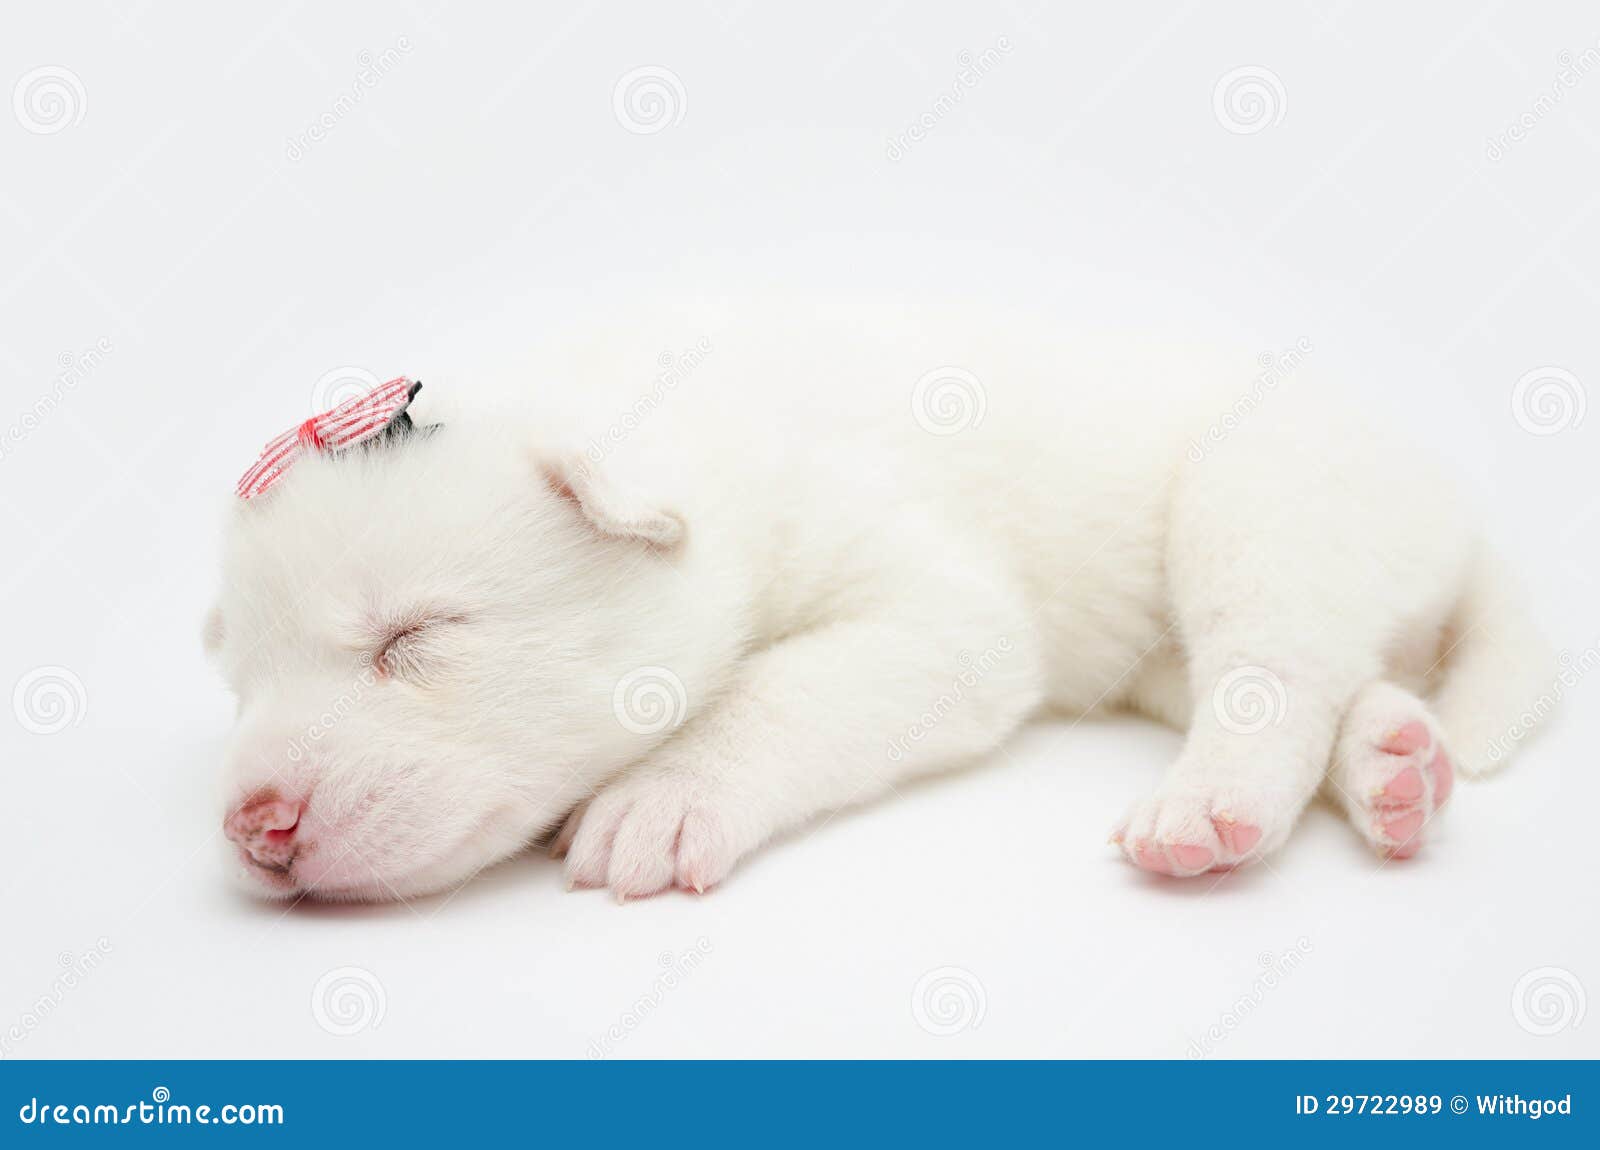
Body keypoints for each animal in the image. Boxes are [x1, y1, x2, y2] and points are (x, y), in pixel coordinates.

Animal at [206, 303, 1555, 902]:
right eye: (243, 684)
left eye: (413, 637)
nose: (254, 824)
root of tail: (1458, 506)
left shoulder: (940, 614)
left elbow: (783, 687)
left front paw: (660, 797)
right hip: (1165, 631)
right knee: (1325, 674)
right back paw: (1391, 764)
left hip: (1263, 492)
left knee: (1272, 671)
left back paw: (1210, 807)